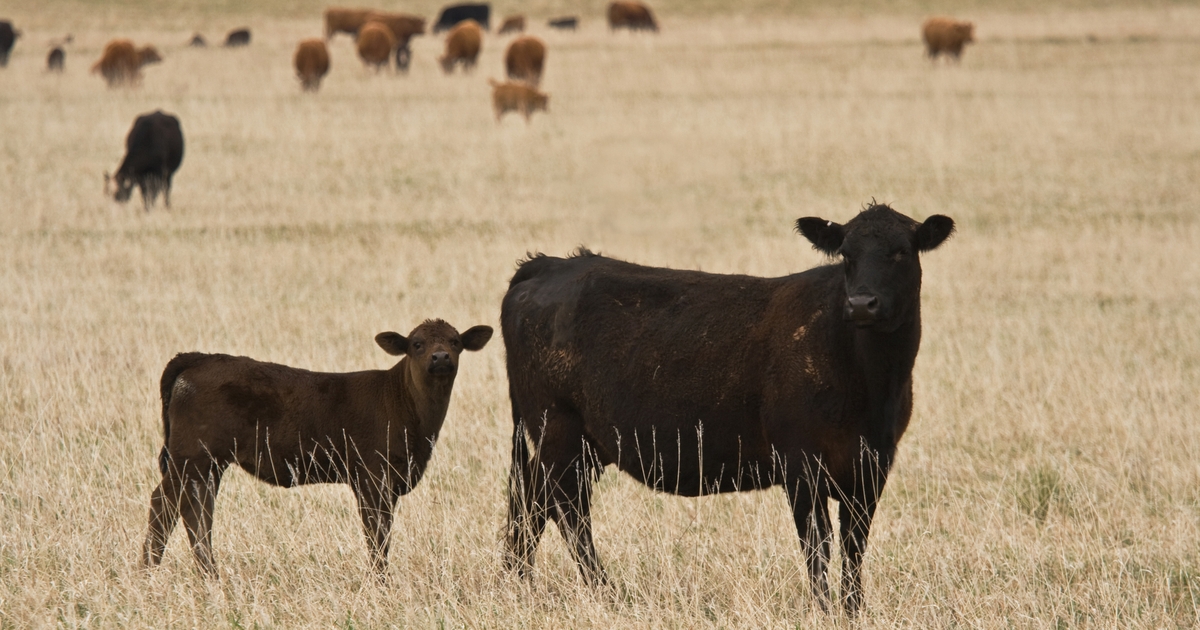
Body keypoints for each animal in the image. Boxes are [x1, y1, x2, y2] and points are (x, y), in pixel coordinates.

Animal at [141, 319, 492, 573]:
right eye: (417, 344)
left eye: (456, 342)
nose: (440, 357)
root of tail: (197, 358)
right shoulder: (372, 477)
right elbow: (377, 536)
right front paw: (380, 582)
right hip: (193, 456)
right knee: (167, 504)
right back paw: (154, 572)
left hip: (207, 462)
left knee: (195, 509)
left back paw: (202, 574)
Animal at [501, 202, 950, 614]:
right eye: (846, 255)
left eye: (901, 252)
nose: (860, 304)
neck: (870, 382)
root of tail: (549, 264)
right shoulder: (801, 464)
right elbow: (817, 545)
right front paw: (824, 610)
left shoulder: (872, 465)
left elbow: (854, 546)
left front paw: (854, 609)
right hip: (558, 430)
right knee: (565, 508)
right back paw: (603, 591)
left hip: (580, 443)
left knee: (533, 500)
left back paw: (519, 581)